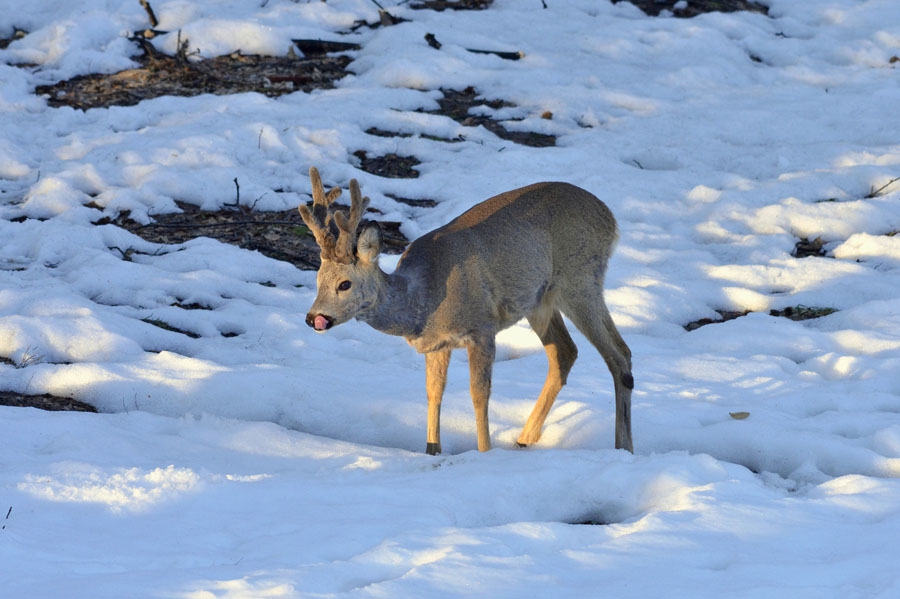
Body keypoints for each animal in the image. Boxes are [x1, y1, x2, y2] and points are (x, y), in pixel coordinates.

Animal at [298, 166, 632, 452]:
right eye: (317, 279)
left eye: (345, 284)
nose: (314, 318)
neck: (424, 300)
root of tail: (611, 219)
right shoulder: (436, 345)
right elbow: (434, 393)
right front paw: (432, 450)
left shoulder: (482, 328)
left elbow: (478, 394)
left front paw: (484, 452)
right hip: (539, 300)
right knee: (565, 352)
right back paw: (524, 439)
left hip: (580, 278)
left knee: (619, 353)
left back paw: (623, 448)